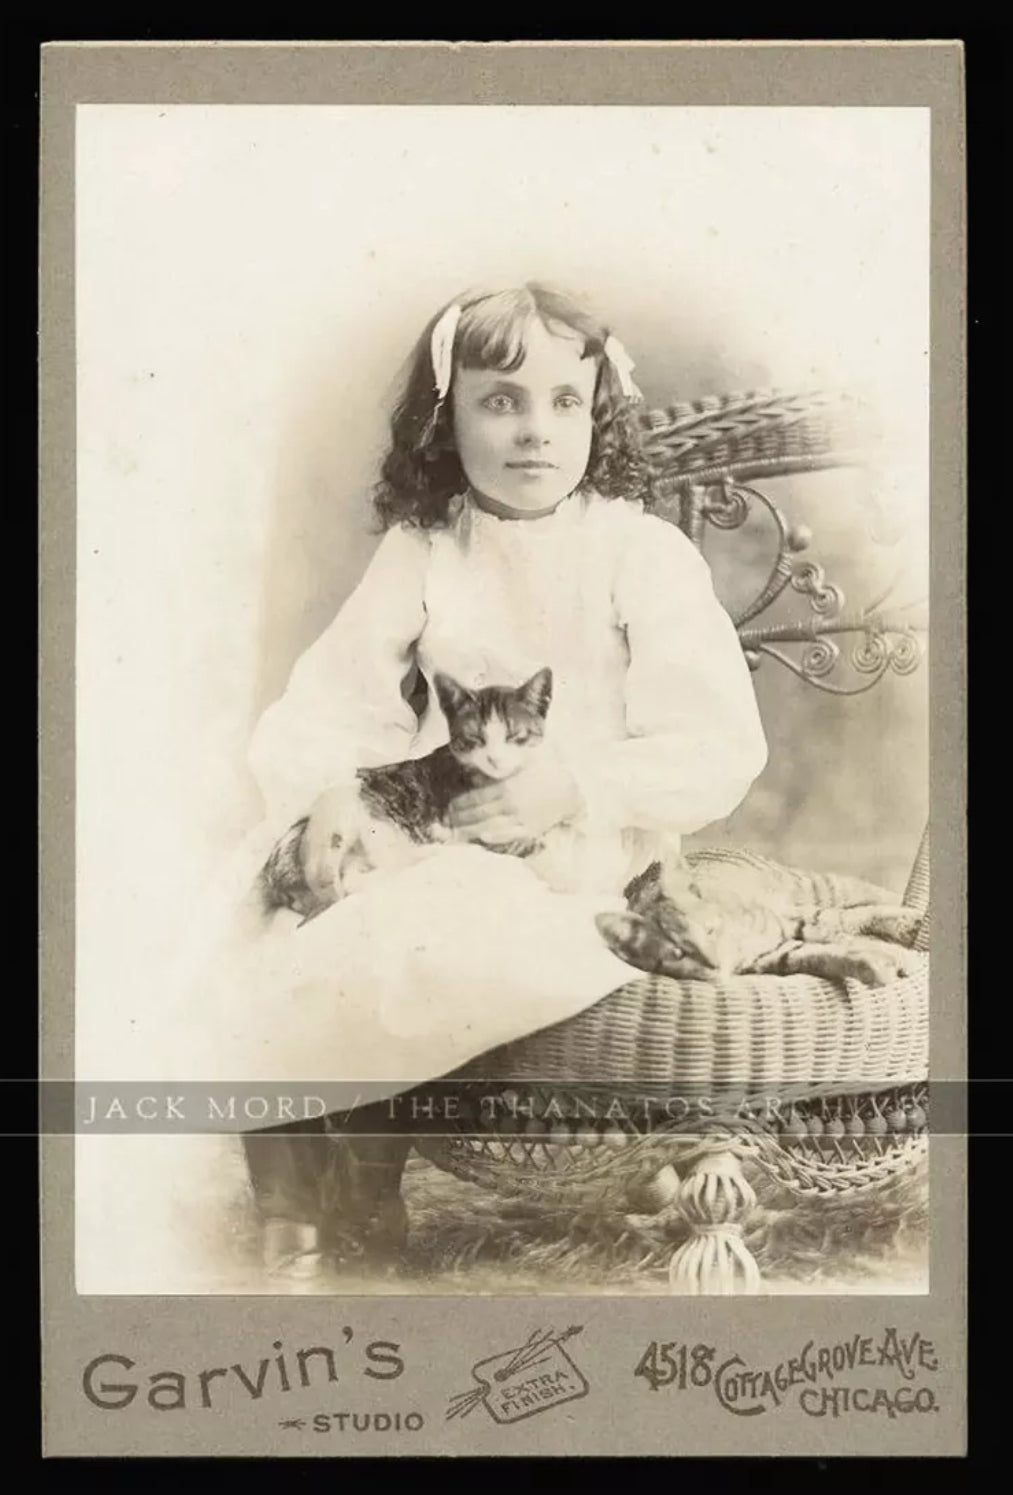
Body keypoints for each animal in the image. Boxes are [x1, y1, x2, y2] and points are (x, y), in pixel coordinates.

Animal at [258, 666, 552, 920]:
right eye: (475, 739)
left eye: (515, 737)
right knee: (365, 875)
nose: (495, 759)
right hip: (356, 816)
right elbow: (531, 843)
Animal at [594, 849, 926, 986]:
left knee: (862, 904)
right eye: (678, 953)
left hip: (816, 888)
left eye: (710, 929)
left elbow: (841, 932)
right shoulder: (780, 954)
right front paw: (872, 966)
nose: (713, 963)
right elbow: (828, 955)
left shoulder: (793, 921)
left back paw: (910, 920)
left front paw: (899, 954)